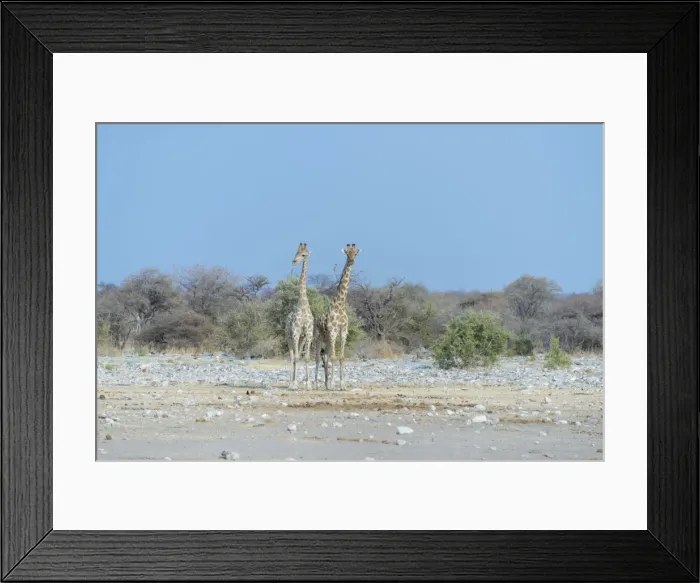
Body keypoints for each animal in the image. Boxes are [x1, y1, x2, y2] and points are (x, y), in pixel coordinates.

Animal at [314, 243, 361, 390]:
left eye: (355, 253)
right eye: (347, 253)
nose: (351, 261)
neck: (340, 305)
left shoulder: (343, 331)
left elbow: (341, 357)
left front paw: (342, 385)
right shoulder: (333, 331)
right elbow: (334, 357)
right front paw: (334, 383)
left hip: (327, 339)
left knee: (325, 356)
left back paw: (325, 383)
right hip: (317, 337)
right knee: (317, 358)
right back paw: (316, 384)